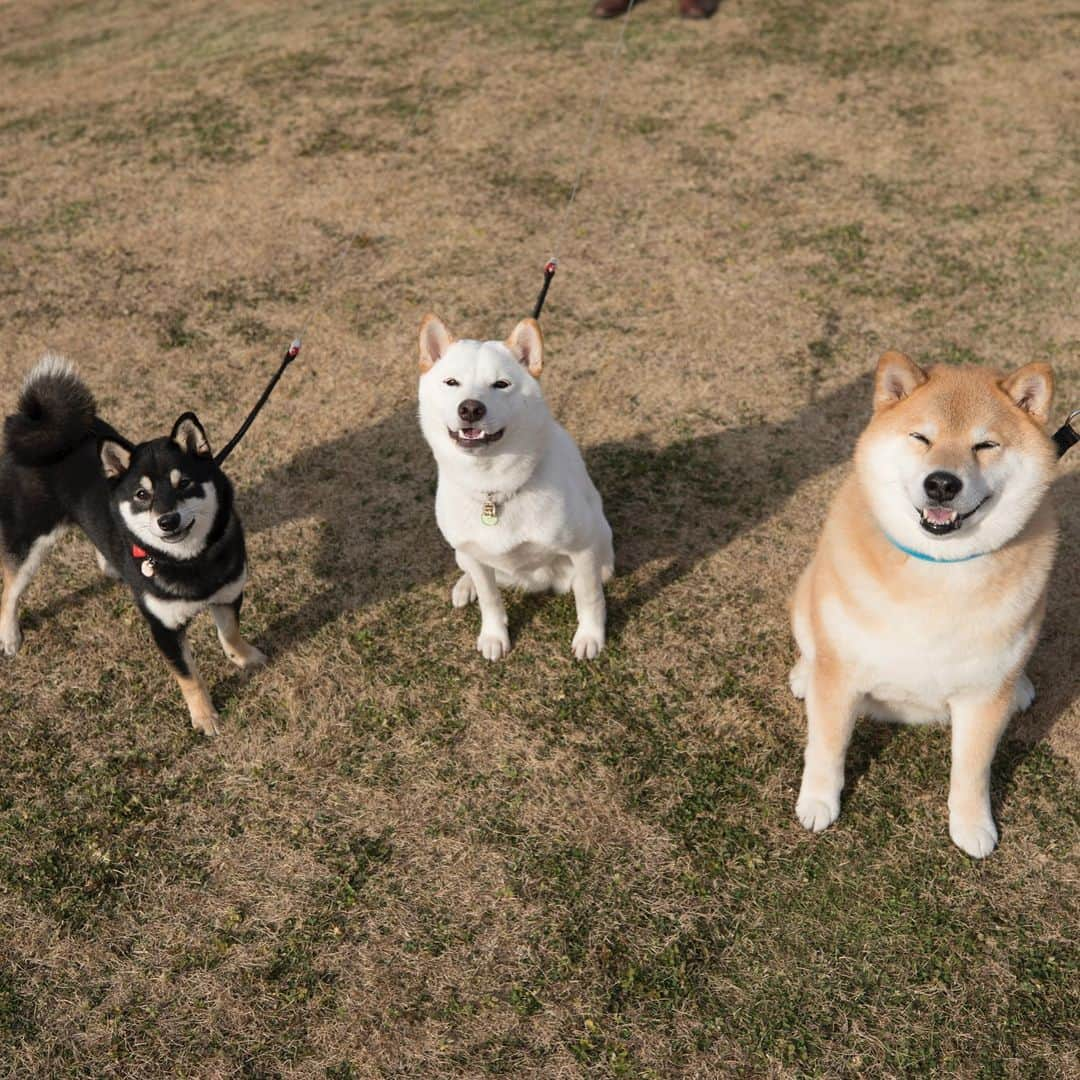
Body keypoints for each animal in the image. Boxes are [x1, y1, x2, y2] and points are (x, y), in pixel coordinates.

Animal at [1, 354, 263, 734]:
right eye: (142, 494)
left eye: (184, 483)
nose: (168, 520)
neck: (186, 560)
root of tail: (35, 424)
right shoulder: (164, 628)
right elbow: (189, 677)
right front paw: (204, 717)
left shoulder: (229, 594)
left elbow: (229, 633)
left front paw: (244, 657)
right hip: (29, 539)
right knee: (10, 588)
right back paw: (8, 635)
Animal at [414, 315, 613, 656]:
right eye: (451, 382)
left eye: (501, 384)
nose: (471, 408)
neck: (492, 487)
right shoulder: (475, 556)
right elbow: (490, 599)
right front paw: (494, 636)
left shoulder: (583, 549)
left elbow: (589, 597)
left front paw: (590, 637)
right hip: (461, 553)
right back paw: (465, 586)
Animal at [790, 354, 1058, 859]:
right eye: (921, 438)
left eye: (985, 444)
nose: (941, 484)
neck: (938, 570)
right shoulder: (841, 675)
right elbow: (827, 746)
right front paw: (817, 800)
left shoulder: (982, 697)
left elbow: (972, 770)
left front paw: (972, 825)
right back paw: (801, 674)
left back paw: (1021, 688)